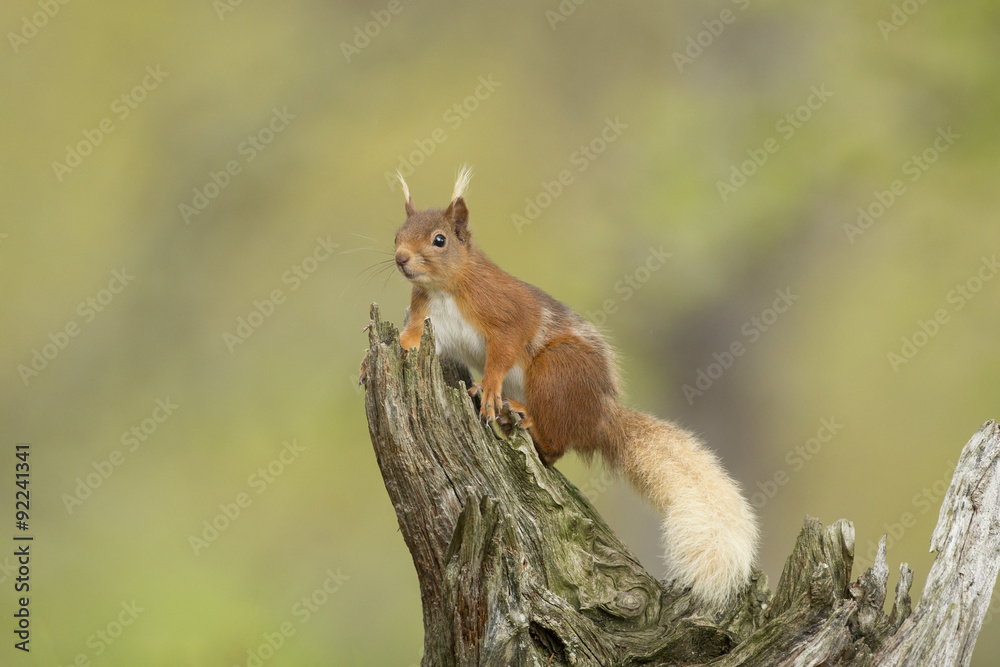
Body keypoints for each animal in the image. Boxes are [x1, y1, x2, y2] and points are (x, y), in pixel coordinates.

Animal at [390, 166, 758, 609]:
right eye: (397, 233)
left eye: (440, 239)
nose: (401, 258)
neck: (446, 288)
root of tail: (599, 416)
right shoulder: (430, 323)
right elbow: (413, 341)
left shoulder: (505, 312)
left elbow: (504, 351)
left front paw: (490, 387)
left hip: (556, 370)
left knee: (554, 444)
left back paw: (522, 415)